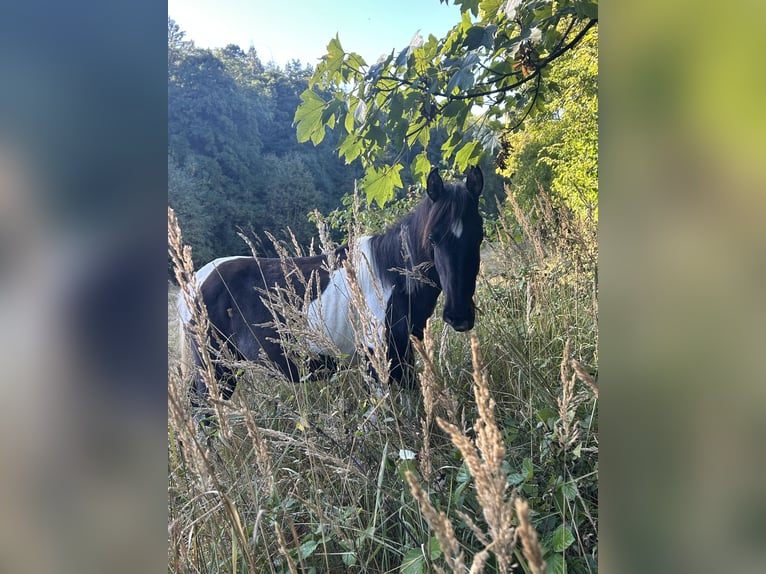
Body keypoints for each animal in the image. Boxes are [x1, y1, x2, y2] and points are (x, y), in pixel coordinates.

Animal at [177, 167, 484, 404]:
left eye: (478, 236)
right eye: (432, 238)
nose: (459, 315)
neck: (390, 279)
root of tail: (193, 282)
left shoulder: (402, 356)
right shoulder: (376, 361)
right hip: (215, 368)